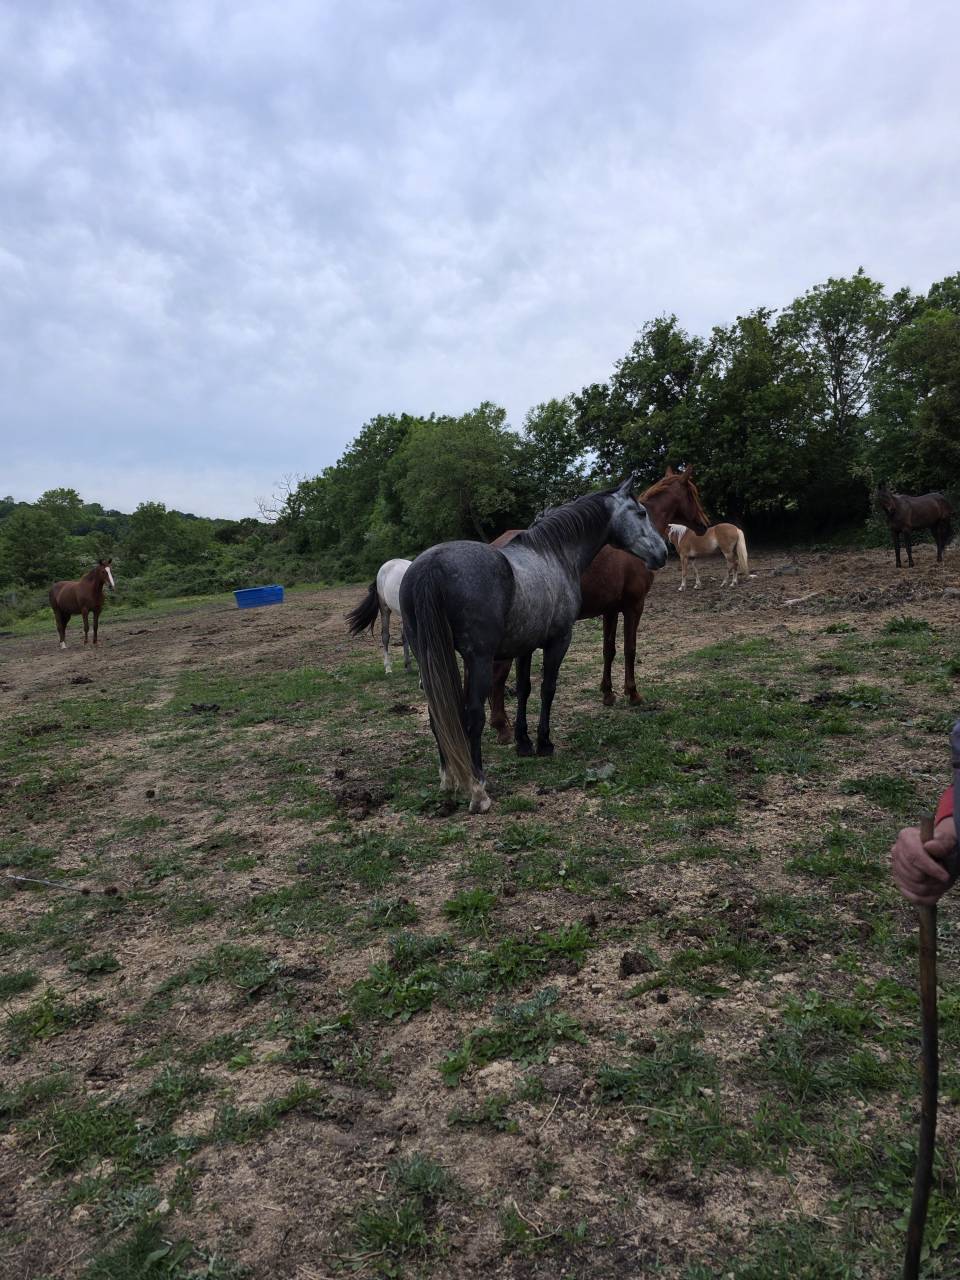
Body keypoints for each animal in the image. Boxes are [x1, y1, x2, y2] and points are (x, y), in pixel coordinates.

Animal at [400, 475, 667, 814]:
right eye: (641, 513)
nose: (663, 552)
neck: (554, 554)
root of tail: (432, 565)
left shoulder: (524, 646)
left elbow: (525, 689)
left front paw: (524, 742)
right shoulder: (558, 641)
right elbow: (547, 689)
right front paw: (544, 743)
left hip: (431, 658)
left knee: (439, 715)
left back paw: (448, 782)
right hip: (479, 660)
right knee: (472, 715)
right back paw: (478, 790)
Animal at [487, 466, 709, 742]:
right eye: (694, 493)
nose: (705, 524)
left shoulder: (610, 610)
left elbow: (608, 650)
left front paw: (608, 693)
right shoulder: (634, 606)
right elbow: (630, 649)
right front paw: (632, 693)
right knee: (497, 676)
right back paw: (502, 727)